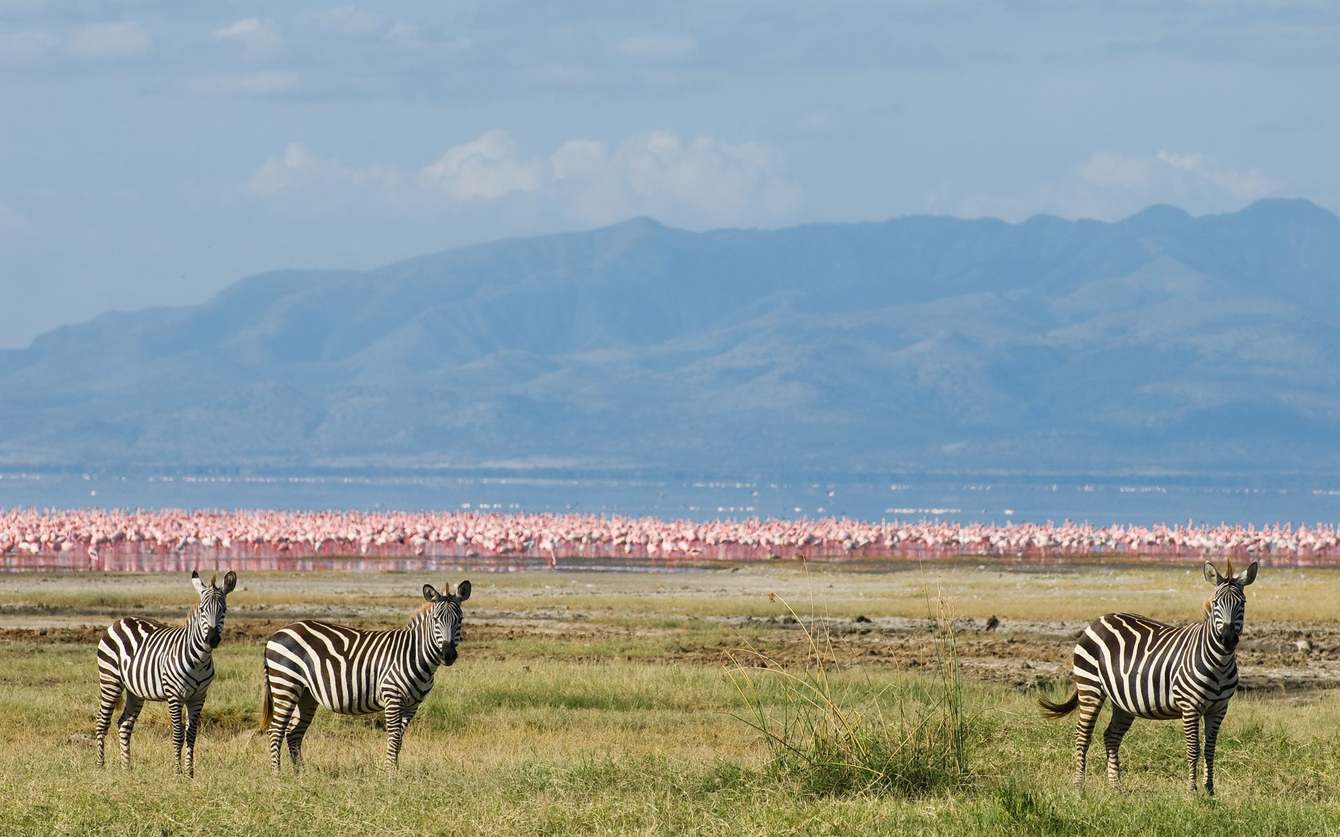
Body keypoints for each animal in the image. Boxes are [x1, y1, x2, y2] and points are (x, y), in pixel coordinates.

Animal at [93, 567, 238, 776]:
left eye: (224, 610)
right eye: (202, 610)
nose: (212, 639)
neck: (200, 660)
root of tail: (120, 620)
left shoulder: (198, 697)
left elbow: (191, 735)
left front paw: (190, 773)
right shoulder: (175, 695)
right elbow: (178, 734)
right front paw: (178, 772)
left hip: (135, 691)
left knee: (124, 724)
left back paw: (126, 767)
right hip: (110, 680)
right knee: (102, 722)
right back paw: (100, 766)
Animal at [259, 581, 471, 771]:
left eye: (459, 619)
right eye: (435, 619)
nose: (448, 655)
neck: (414, 654)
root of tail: (275, 634)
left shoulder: (412, 705)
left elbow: (400, 738)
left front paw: (395, 771)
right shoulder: (392, 697)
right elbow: (394, 737)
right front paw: (390, 774)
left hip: (306, 694)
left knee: (294, 733)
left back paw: (301, 774)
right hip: (285, 685)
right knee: (276, 731)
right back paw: (277, 775)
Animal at [1045, 557, 1254, 792]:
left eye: (1243, 603)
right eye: (1216, 603)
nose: (1227, 639)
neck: (1219, 663)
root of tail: (1098, 620)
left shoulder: (1219, 709)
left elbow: (1210, 749)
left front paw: (1210, 791)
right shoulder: (1190, 706)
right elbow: (1194, 749)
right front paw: (1192, 791)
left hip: (1122, 700)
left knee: (1111, 736)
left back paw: (1116, 788)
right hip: (1090, 687)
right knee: (1083, 735)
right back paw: (1079, 787)